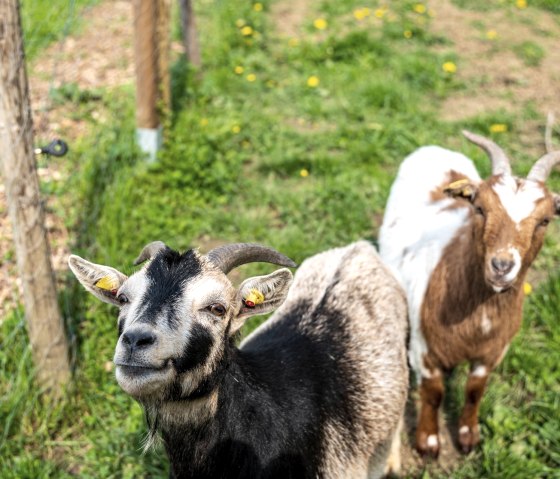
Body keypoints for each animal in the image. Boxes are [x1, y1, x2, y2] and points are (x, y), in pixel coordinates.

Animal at [378, 130, 560, 458]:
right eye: (480, 208)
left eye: (545, 220)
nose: (501, 266)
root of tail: (435, 148)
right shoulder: (424, 350)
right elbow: (433, 393)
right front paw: (428, 442)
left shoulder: (492, 352)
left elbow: (475, 391)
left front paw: (467, 437)